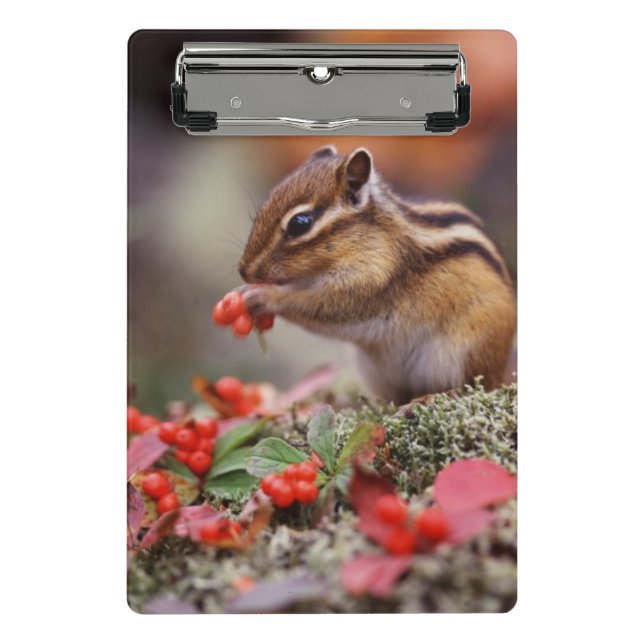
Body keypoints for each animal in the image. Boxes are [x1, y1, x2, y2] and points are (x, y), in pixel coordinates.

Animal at [237, 146, 516, 405]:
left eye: (300, 223)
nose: (244, 271)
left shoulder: (372, 281)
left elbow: (324, 305)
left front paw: (265, 297)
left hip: (465, 352)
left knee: (473, 387)